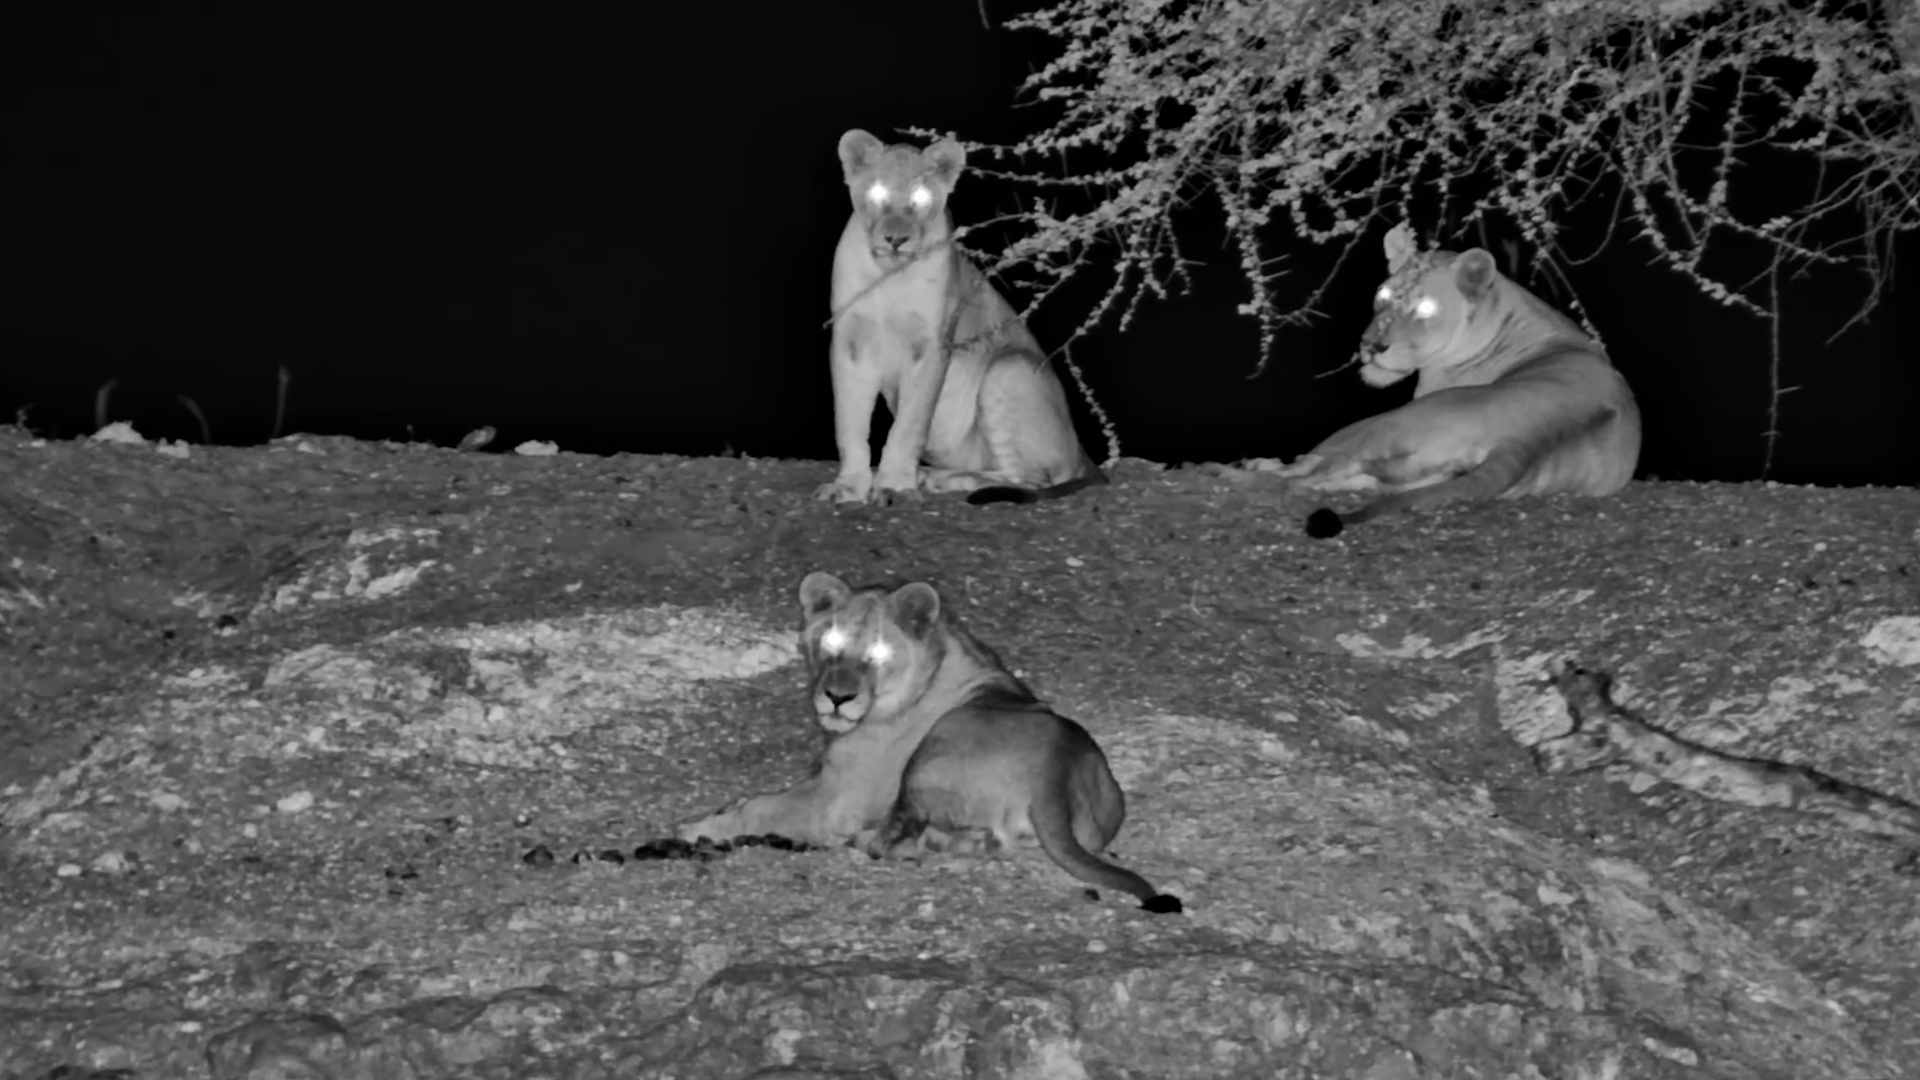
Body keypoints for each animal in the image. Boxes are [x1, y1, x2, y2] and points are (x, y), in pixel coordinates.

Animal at [676, 570, 1181, 913]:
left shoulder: (836, 798)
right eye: (832, 641)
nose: (837, 697)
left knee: (895, 842)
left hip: (933, 752)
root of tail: (1053, 778)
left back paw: (869, 841)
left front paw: (697, 827)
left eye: (878, 652)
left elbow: (758, 806)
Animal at [818, 129, 1104, 507]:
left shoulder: (932, 347)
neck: (890, 276)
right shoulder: (850, 343)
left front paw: (894, 486)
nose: (896, 239)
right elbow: (848, 423)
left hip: (1008, 368)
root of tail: (1084, 454)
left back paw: (941, 480)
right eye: (877, 191)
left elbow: (909, 425)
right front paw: (849, 486)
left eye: (921, 196)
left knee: (1028, 479)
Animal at [1276, 224, 1641, 538]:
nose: (1371, 346)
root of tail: (1524, 439)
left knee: (1312, 471)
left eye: (1425, 307)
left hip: (1389, 422)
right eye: (1383, 295)